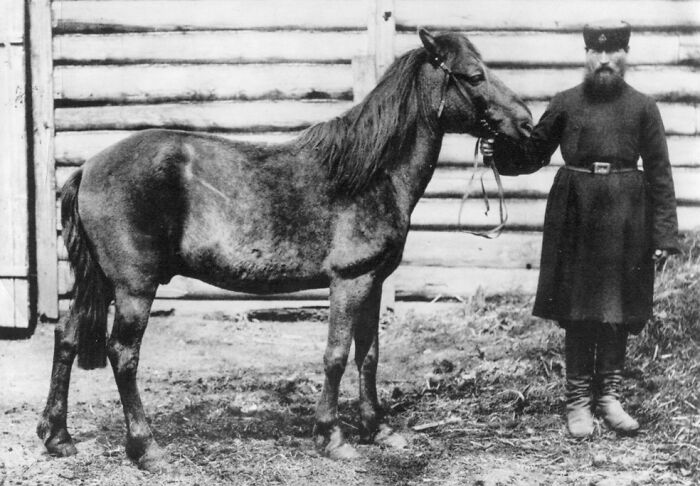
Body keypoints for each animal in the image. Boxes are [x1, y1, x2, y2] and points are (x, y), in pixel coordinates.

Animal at [37, 29, 532, 471]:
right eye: (474, 75)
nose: (527, 122)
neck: (370, 176)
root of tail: (88, 167)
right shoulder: (349, 281)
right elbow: (336, 356)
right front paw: (332, 437)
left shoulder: (372, 283)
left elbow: (368, 355)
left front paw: (377, 429)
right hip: (134, 287)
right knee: (123, 354)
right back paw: (146, 448)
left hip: (100, 281)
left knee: (67, 336)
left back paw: (57, 436)